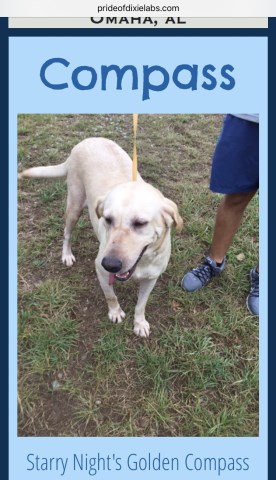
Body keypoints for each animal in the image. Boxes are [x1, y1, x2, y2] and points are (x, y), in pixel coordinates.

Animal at [19, 137, 183, 336]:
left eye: (140, 223)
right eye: (108, 219)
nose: (111, 264)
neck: (142, 262)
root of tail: (87, 140)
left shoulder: (151, 278)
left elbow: (141, 304)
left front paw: (139, 323)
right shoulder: (100, 270)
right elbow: (110, 296)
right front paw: (116, 312)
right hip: (74, 206)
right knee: (67, 233)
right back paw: (66, 254)